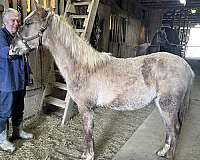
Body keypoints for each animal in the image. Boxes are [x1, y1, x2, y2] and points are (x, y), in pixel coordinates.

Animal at [10, 1, 195, 160]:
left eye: (27, 23)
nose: (12, 48)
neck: (83, 66)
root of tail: (187, 67)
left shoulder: (85, 107)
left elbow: (87, 132)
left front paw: (88, 155)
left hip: (168, 105)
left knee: (174, 130)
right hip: (162, 105)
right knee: (169, 130)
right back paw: (162, 152)